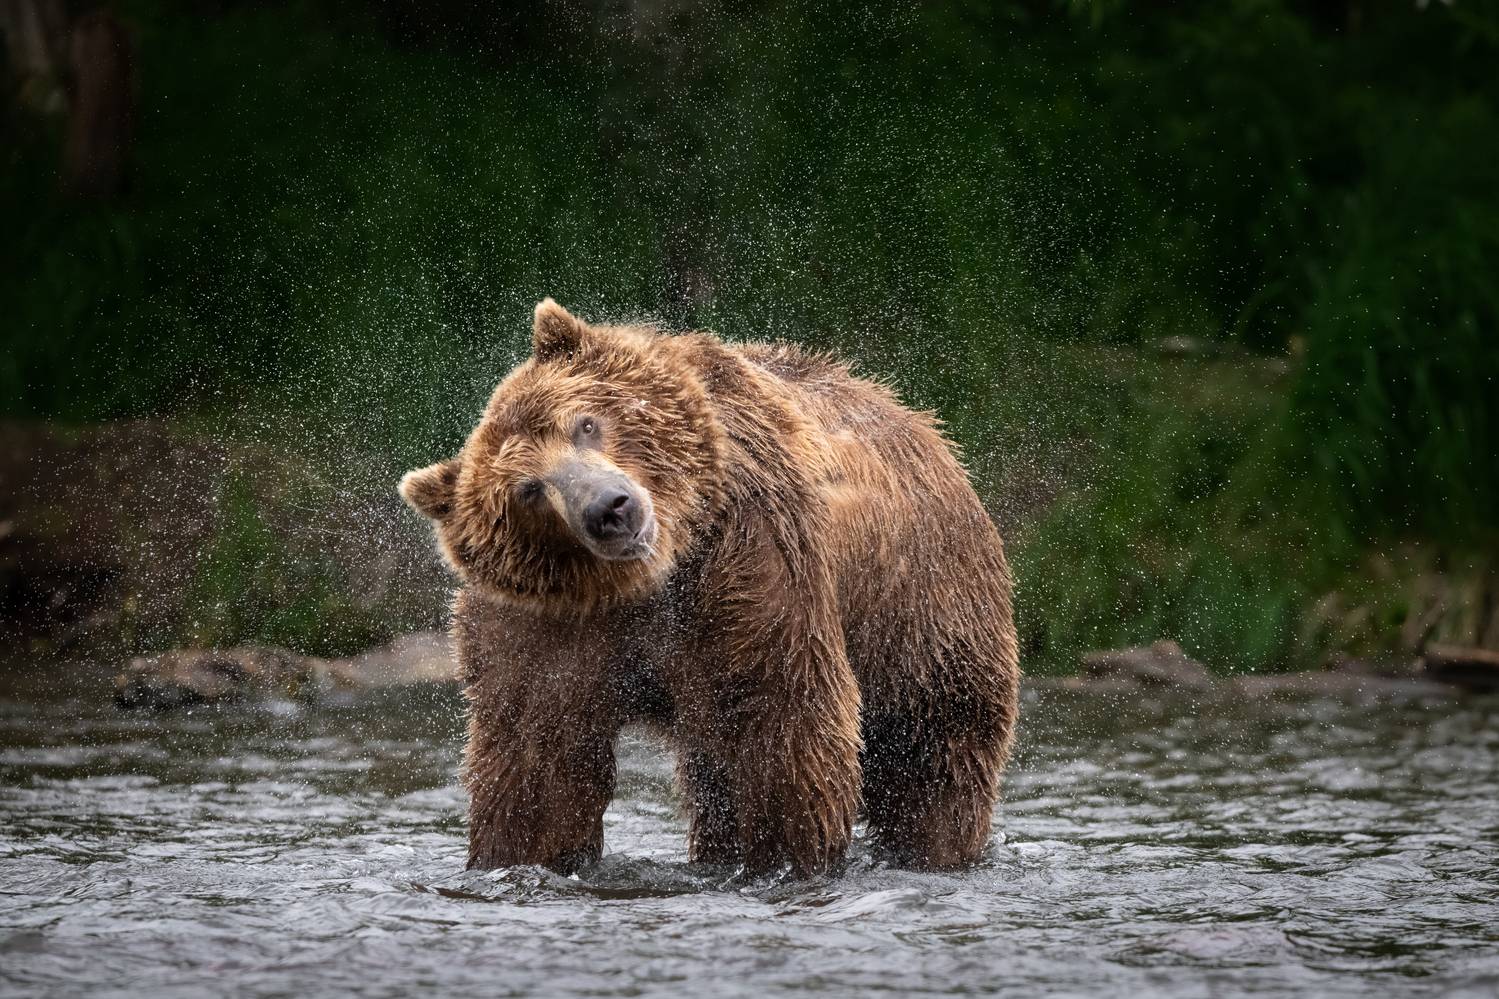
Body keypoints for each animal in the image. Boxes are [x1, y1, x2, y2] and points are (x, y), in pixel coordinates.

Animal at [400, 299, 1019, 876]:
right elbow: (538, 763)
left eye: (585, 423)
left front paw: (788, 857)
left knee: (932, 758)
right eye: (528, 489)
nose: (610, 508)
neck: (654, 577)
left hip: (924, 610)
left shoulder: (750, 557)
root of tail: (916, 419)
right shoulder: (546, 625)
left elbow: (782, 722)